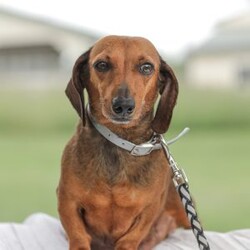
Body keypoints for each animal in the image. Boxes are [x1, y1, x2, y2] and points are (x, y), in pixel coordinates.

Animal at [57, 35, 190, 250]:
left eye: (146, 67)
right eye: (102, 65)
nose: (123, 106)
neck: (120, 143)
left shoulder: (149, 210)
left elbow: (131, 237)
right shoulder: (67, 202)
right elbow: (77, 234)